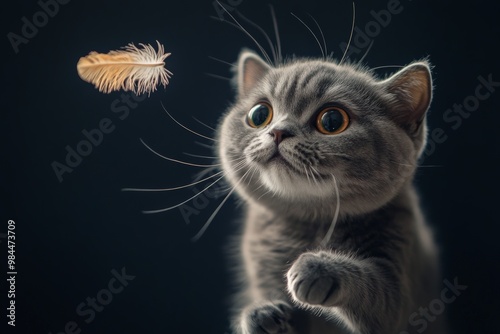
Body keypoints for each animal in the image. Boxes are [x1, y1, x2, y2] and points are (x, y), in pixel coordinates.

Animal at [217, 50, 448, 334]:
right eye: (259, 114)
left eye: (332, 120)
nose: (278, 132)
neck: (312, 224)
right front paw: (261, 314)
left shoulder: (402, 284)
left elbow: (380, 292)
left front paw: (316, 268)